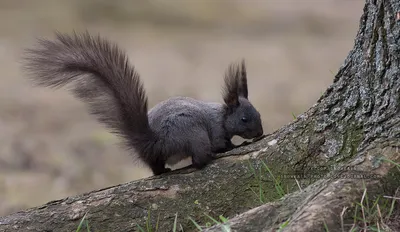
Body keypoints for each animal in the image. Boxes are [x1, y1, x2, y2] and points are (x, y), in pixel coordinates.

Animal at [22, 31, 266, 176]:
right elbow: (222, 143)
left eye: (259, 114)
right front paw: (236, 146)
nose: (260, 133)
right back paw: (207, 158)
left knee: (156, 168)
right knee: (199, 158)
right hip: (193, 133)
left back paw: (163, 170)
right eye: (244, 118)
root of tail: (153, 141)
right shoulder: (215, 132)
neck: (222, 116)